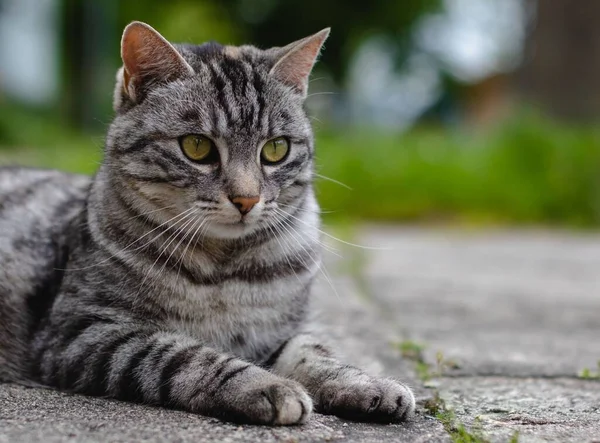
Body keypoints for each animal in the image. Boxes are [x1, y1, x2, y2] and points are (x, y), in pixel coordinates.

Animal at [0, 21, 412, 426]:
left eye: (276, 149)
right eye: (197, 147)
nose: (246, 199)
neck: (223, 269)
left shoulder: (285, 330)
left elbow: (313, 352)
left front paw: (367, 384)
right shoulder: (84, 331)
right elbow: (185, 355)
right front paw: (264, 385)